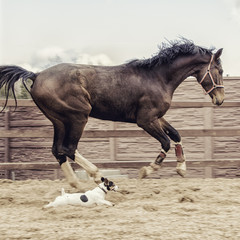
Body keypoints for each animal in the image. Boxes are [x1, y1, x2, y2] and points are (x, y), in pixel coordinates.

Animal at [0, 39, 225, 189]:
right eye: (220, 70)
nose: (220, 99)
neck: (158, 78)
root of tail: (36, 75)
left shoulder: (157, 117)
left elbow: (176, 135)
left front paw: (181, 168)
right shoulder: (145, 120)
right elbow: (166, 142)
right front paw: (146, 171)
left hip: (59, 120)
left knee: (58, 150)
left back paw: (76, 184)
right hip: (77, 117)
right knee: (68, 148)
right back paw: (97, 176)